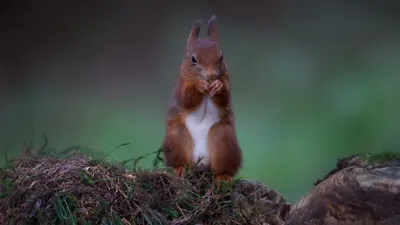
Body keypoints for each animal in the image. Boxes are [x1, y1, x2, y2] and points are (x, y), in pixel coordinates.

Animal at [160, 14, 242, 189]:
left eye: (221, 56)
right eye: (193, 59)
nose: (211, 76)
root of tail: (201, 159)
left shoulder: (227, 81)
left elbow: (224, 98)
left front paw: (218, 86)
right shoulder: (181, 85)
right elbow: (186, 98)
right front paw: (199, 86)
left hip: (223, 140)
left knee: (223, 167)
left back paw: (223, 177)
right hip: (176, 139)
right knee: (182, 161)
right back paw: (179, 169)